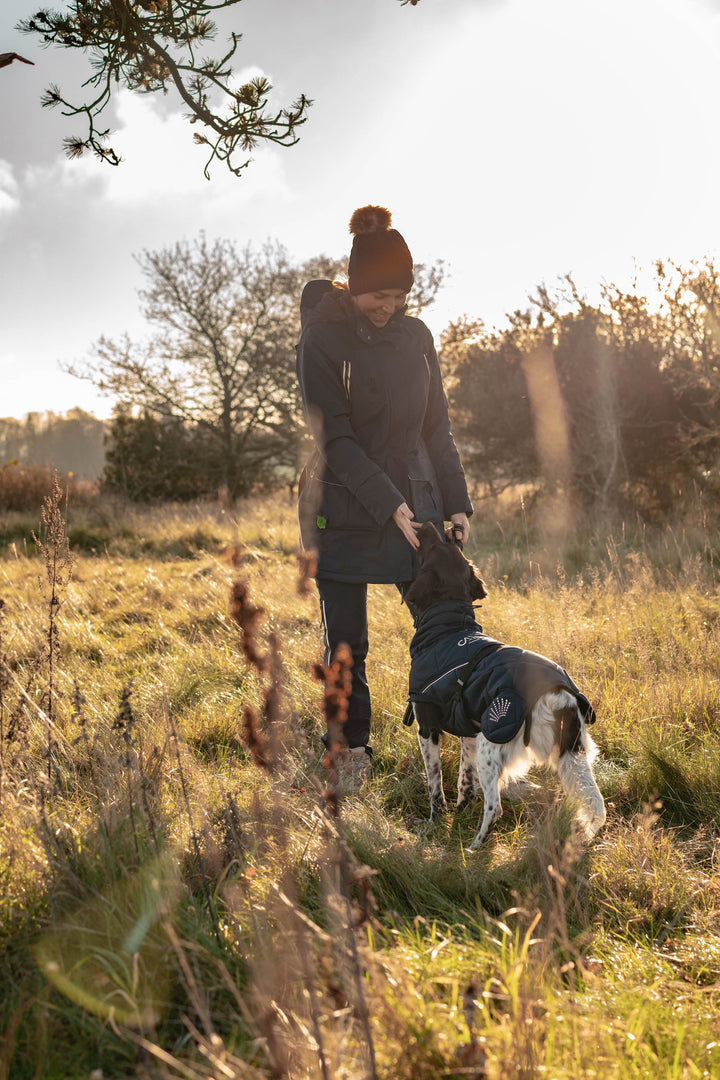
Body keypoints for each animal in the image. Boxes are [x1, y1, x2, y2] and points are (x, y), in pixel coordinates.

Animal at [403, 522, 604, 851]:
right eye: (447, 542)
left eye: (434, 546)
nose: (434, 524)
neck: (448, 628)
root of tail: (557, 694)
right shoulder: (469, 732)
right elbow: (464, 783)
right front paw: (459, 817)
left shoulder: (428, 727)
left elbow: (435, 788)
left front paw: (435, 825)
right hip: (572, 755)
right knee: (591, 803)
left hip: (494, 744)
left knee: (494, 807)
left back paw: (474, 848)